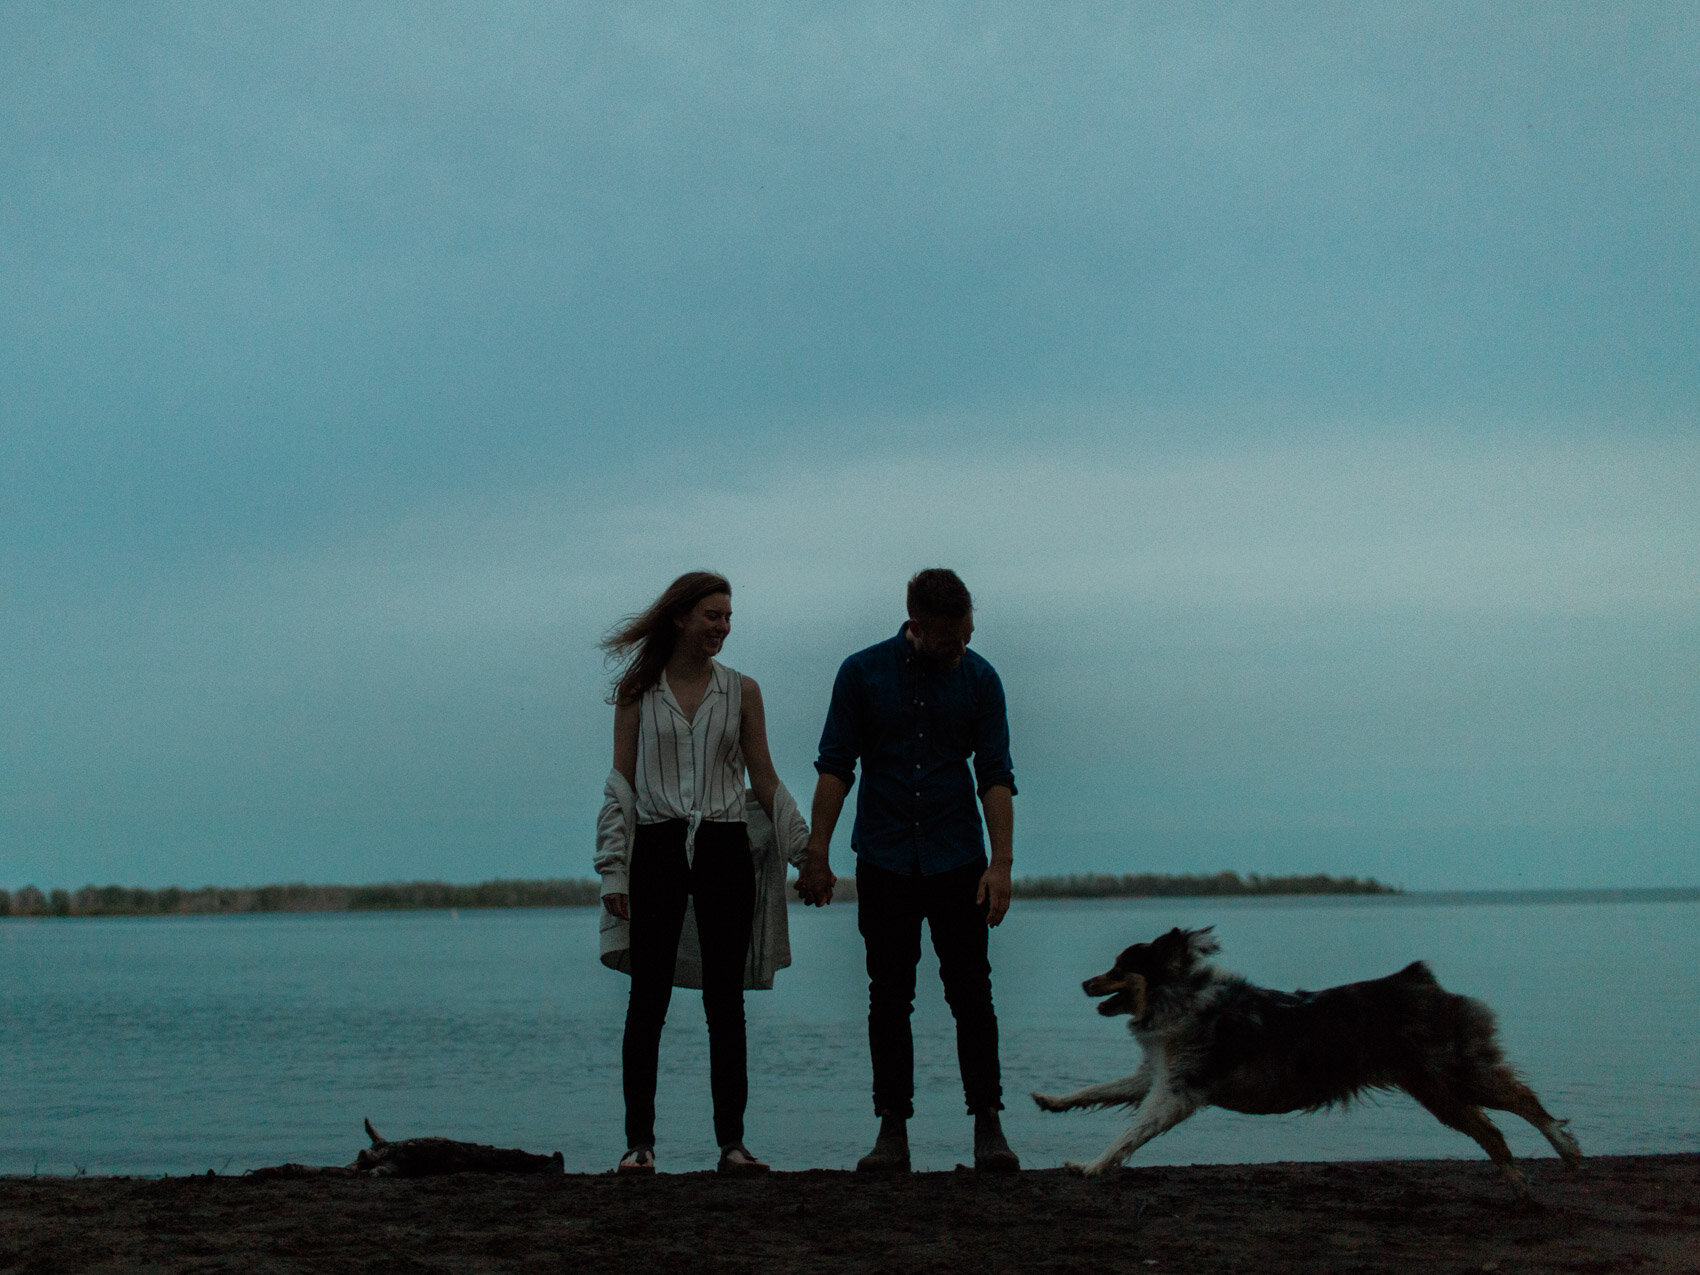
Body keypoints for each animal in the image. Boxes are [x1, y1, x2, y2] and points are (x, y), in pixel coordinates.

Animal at [1026, 924, 1584, 1203]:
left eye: (1121, 967)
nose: (1084, 983)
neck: (1180, 996)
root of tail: (1421, 981)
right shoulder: (1154, 1076)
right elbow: (1094, 1092)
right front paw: (1050, 1101)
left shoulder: (1176, 1093)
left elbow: (1128, 1136)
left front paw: (1092, 1166)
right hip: (1437, 1088)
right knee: (1493, 1127)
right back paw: (1527, 1177)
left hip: (1452, 1076)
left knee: (1518, 1106)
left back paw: (1558, 1155)